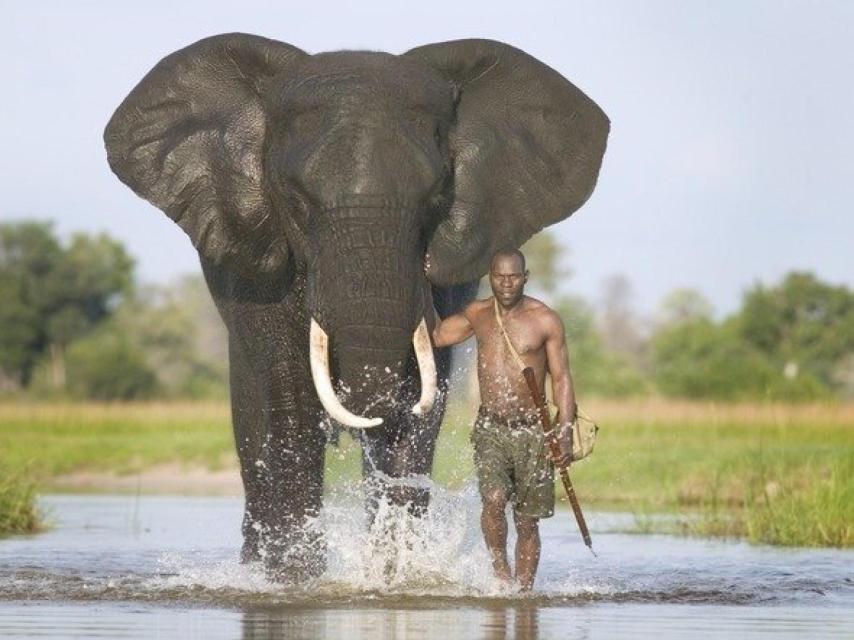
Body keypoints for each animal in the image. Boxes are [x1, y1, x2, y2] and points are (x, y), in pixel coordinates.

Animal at [104, 33, 609, 580]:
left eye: (436, 197)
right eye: (296, 200)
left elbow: (420, 401)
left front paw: (397, 578)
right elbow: (291, 401)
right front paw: (298, 581)